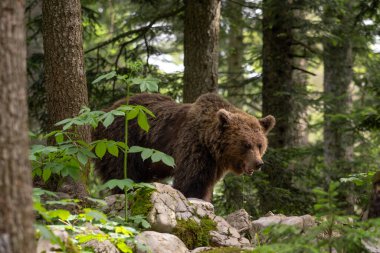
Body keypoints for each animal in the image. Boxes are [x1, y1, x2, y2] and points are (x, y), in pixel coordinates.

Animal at [94, 93, 274, 202]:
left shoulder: (212, 163)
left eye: (260, 145)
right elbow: (191, 181)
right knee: (122, 173)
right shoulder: (193, 147)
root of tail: (106, 111)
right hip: (121, 142)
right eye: (246, 144)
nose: (258, 163)